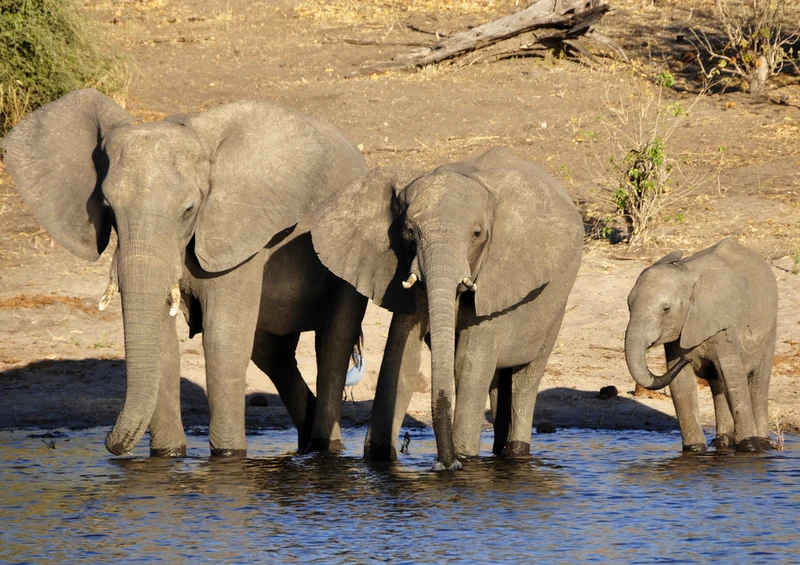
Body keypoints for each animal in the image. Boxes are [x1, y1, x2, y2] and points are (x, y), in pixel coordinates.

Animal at [1, 89, 369, 457]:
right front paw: (167, 456)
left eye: (189, 210)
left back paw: (325, 448)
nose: (109, 444)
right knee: (272, 353)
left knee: (333, 347)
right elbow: (163, 343)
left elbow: (223, 339)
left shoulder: (239, 236)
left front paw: (229, 457)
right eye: (108, 209)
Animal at [305, 147, 584, 469]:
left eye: (477, 234)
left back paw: (516, 451)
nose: (446, 464)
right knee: (497, 382)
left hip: (557, 306)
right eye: (409, 233)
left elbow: (467, 363)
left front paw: (463, 460)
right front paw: (380, 459)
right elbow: (402, 358)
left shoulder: (497, 276)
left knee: (525, 380)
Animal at [624, 238, 778, 452]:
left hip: (770, 327)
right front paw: (695, 451)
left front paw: (750, 448)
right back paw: (723, 443)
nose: (687, 358)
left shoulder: (724, 326)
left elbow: (734, 378)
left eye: (666, 309)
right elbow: (682, 385)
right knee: (719, 383)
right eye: (629, 306)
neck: (687, 275)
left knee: (757, 382)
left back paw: (763, 444)